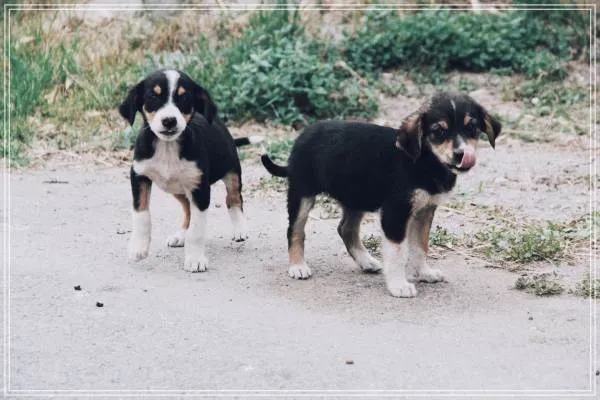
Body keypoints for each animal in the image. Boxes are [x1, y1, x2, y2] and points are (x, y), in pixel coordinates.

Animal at [119, 69, 261, 272]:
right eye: (153, 96)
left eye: (184, 98)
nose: (169, 121)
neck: (168, 147)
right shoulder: (139, 176)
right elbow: (141, 215)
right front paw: (138, 248)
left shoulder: (200, 188)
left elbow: (197, 229)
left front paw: (195, 259)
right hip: (177, 188)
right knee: (187, 209)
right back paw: (180, 236)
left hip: (231, 171)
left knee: (233, 198)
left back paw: (240, 229)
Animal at [261, 92, 501, 297]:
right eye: (438, 131)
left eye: (472, 128)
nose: (462, 154)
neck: (423, 161)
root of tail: (303, 135)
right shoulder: (396, 212)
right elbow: (397, 253)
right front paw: (398, 285)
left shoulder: (425, 210)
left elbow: (420, 246)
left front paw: (424, 272)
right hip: (302, 192)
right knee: (295, 230)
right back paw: (298, 266)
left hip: (356, 196)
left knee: (346, 229)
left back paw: (366, 262)